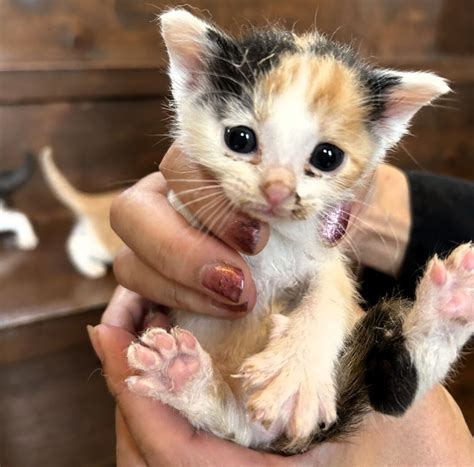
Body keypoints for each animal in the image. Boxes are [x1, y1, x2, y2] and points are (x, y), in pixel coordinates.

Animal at [126, 11, 474, 456]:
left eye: (327, 157)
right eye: (239, 138)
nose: (277, 190)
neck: (274, 239)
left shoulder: (329, 254)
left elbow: (328, 293)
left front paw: (295, 373)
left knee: (394, 394)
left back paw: (448, 307)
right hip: (241, 426)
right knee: (232, 426)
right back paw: (183, 376)